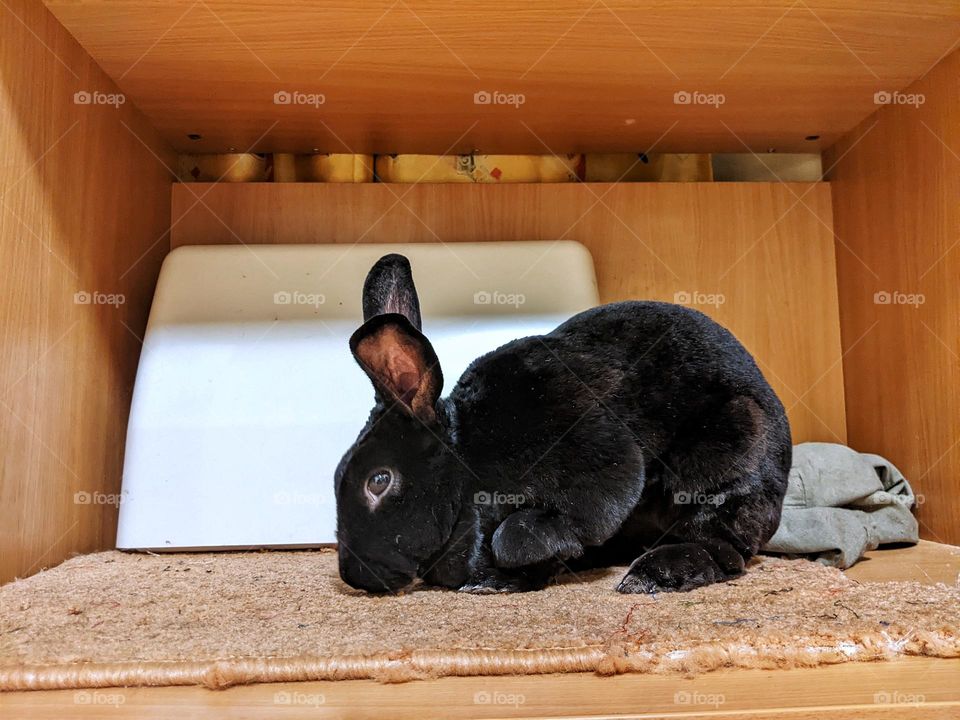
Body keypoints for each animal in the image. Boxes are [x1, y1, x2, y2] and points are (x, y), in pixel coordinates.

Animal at [334, 256, 792, 592]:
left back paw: (651, 575)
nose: (355, 577)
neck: (464, 460)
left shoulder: (598, 461)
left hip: (726, 456)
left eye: (379, 481)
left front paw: (498, 574)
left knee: (722, 548)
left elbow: (517, 535)